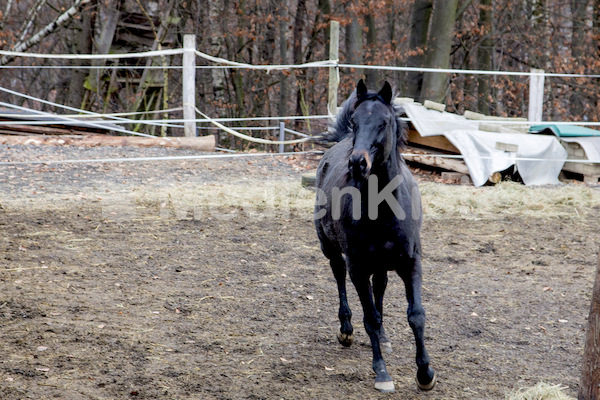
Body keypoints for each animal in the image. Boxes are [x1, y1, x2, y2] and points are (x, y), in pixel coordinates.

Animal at [314, 79, 436, 392]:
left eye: (384, 122)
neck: (383, 207)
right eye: (356, 122)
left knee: (379, 288)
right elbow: (369, 316)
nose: (358, 163)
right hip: (332, 250)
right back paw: (346, 330)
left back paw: (383, 336)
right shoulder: (357, 267)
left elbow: (416, 315)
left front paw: (425, 373)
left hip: (381, 264)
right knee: (339, 276)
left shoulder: (411, 262)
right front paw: (381, 373)